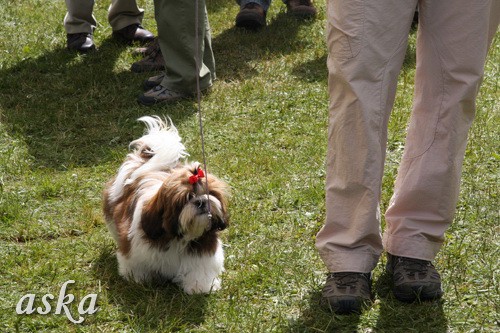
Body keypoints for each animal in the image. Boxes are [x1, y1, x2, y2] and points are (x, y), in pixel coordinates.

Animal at [104, 115, 231, 292]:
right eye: (188, 197)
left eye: (210, 194)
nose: (201, 202)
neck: (177, 237)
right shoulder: (135, 248)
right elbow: (135, 264)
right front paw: (137, 278)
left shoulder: (203, 250)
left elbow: (200, 269)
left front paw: (199, 285)